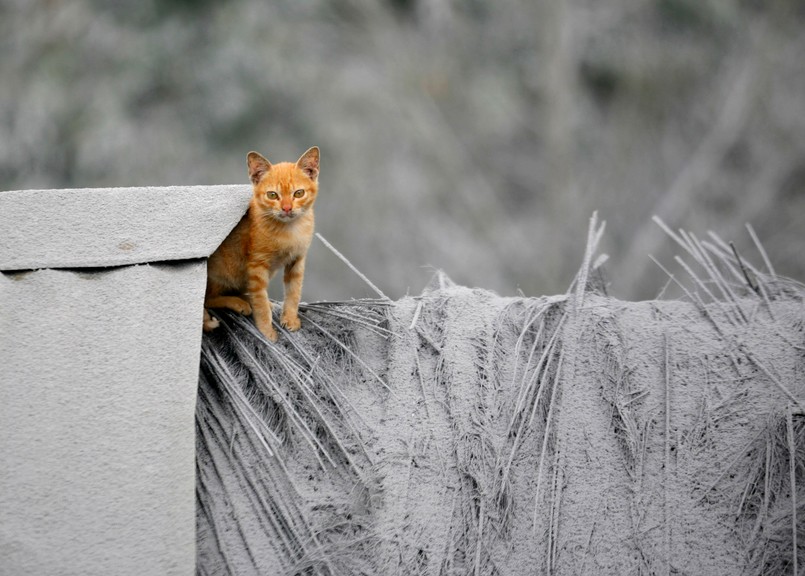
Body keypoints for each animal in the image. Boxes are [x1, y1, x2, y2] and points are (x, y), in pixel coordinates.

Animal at [203, 146, 318, 340]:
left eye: (299, 193)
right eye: (272, 195)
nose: (287, 208)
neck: (288, 230)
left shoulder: (297, 261)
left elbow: (293, 292)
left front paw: (290, 318)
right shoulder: (257, 265)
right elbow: (260, 302)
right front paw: (266, 331)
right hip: (225, 272)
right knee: (208, 299)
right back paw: (238, 303)